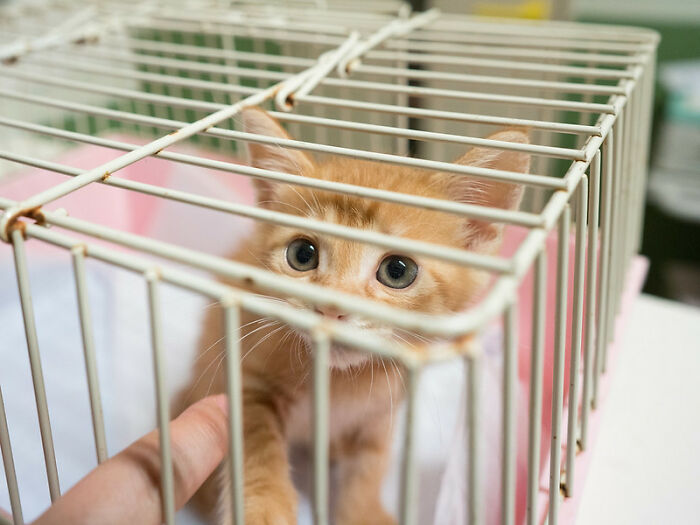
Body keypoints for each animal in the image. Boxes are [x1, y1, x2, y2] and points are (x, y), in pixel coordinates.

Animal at [176, 107, 532, 524]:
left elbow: (368, 467)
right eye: (302, 254)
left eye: (398, 270)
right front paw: (265, 509)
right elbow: (257, 442)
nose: (331, 307)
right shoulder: (249, 377)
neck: (339, 384)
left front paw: (361, 512)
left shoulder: (381, 413)